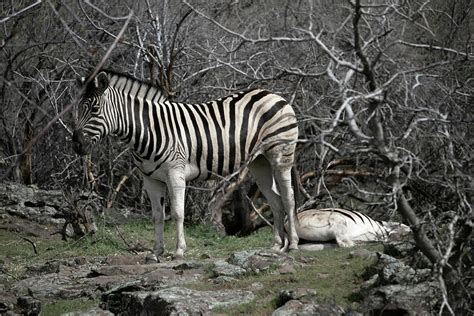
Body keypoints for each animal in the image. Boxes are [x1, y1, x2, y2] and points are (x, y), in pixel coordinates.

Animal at [72, 71, 298, 260]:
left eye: (94, 109)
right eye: (77, 108)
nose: (76, 144)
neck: (148, 130)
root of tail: (271, 94)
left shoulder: (175, 173)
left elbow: (178, 213)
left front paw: (179, 251)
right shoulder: (150, 179)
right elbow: (157, 216)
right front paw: (156, 252)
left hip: (281, 154)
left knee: (288, 198)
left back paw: (293, 245)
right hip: (260, 163)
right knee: (275, 200)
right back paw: (276, 246)